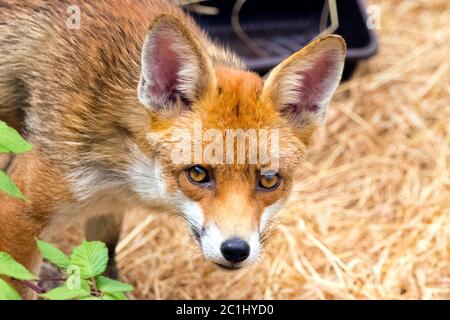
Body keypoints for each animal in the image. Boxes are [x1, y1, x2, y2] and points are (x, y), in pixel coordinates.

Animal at [0, 0, 344, 296]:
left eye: (269, 180)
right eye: (198, 173)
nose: (235, 250)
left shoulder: (108, 211)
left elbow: (105, 272)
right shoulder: (19, 209)